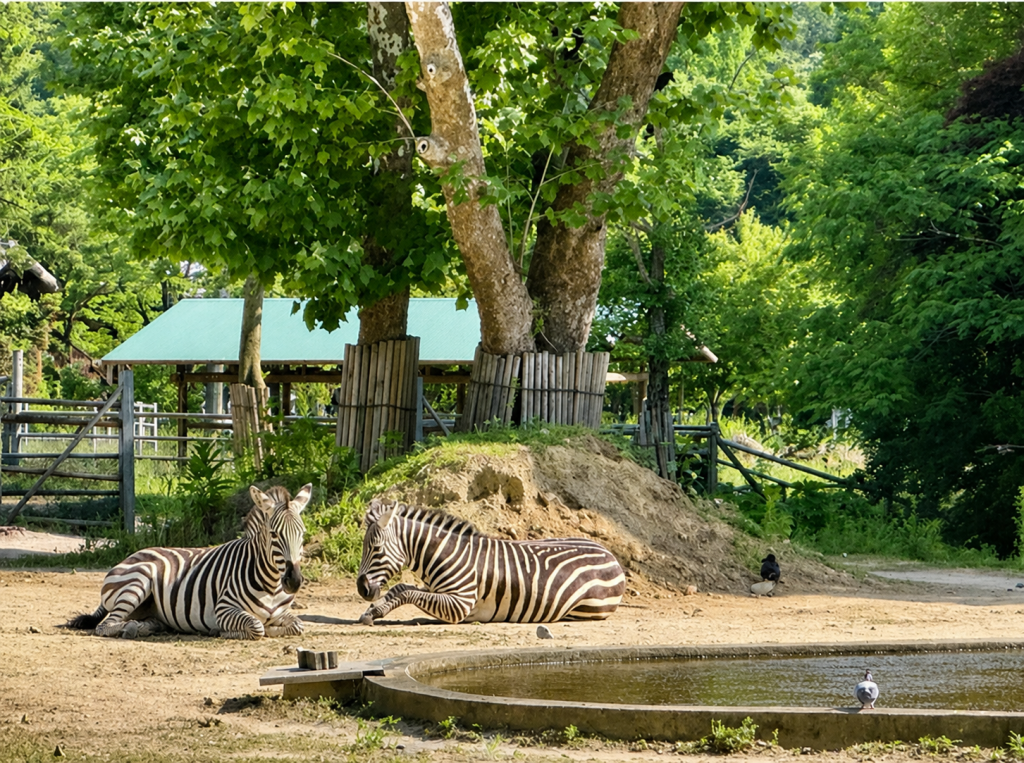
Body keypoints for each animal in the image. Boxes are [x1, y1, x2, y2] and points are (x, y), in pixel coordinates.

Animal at [66, 484, 311, 640]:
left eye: (302, 534)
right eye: (274, 535)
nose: (294, 581)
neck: (272, 585)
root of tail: (133, 554)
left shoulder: (282, 613)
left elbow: (298, 625)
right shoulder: (224, 608)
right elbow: (257, 626)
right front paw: (222, 631)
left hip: (150, 607)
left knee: (147, 621)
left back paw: (140, 627)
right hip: (137, 583)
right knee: (105, 626)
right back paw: (130, 629)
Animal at [356, 498, 626, 625]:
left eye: (376, 548)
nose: (362, 589)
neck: (444, 554)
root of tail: (609, 553)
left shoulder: (459, 604)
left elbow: (407, 593)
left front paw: (375, 609)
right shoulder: (437, 592)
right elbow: (402, 588)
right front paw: (374, 610)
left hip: (584, 609)